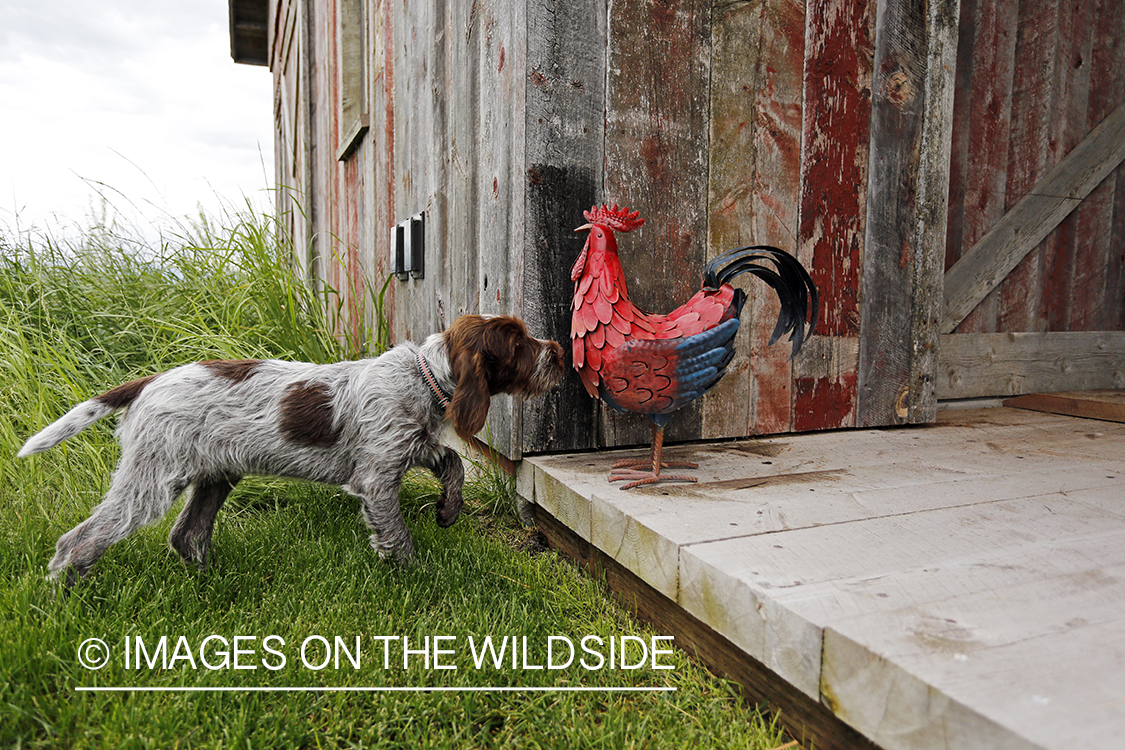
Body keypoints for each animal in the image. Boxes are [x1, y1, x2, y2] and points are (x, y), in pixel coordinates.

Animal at [17, 314, 562, 584]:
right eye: (518, 344)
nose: (557, 351)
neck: (425, 376)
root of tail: (151, 381)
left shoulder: (406, 445)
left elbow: (450, 461)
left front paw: (449, 509)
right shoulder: (376, 476)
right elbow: (397, 536)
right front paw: (418, 577)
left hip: (216, 475)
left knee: (186, 534)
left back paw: (208, 583)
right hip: (151, 479)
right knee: (80, 540)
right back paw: (69, 595)